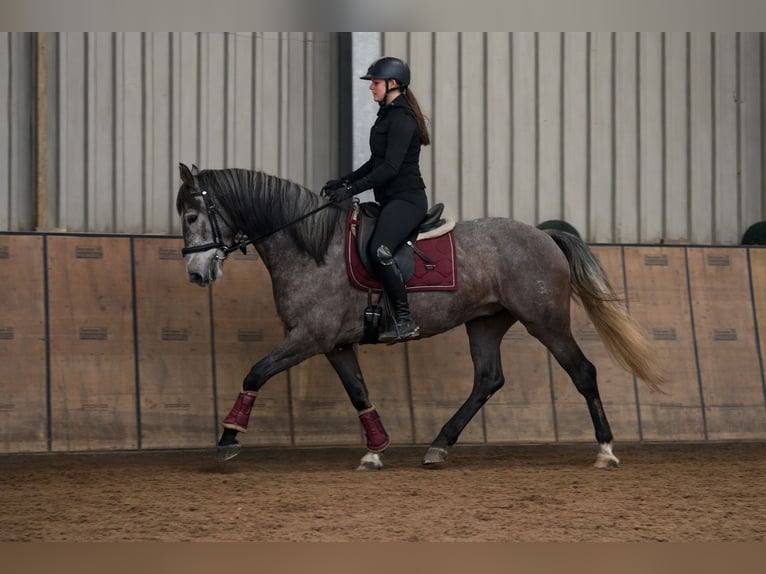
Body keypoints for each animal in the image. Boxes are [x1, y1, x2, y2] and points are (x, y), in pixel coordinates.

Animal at [175, 163, 664, 470]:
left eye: (193, 215)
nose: (196, 274)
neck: (311, 247)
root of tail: (544, 236)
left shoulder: (309, 337)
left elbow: (256, 372)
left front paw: (228, 439)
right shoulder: (334, 343)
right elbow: (358, 392)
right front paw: (375, 449)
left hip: (546, 321)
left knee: (582, 372)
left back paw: (605, 450)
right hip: (486, 322)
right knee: (488, 379)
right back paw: (438, 446)